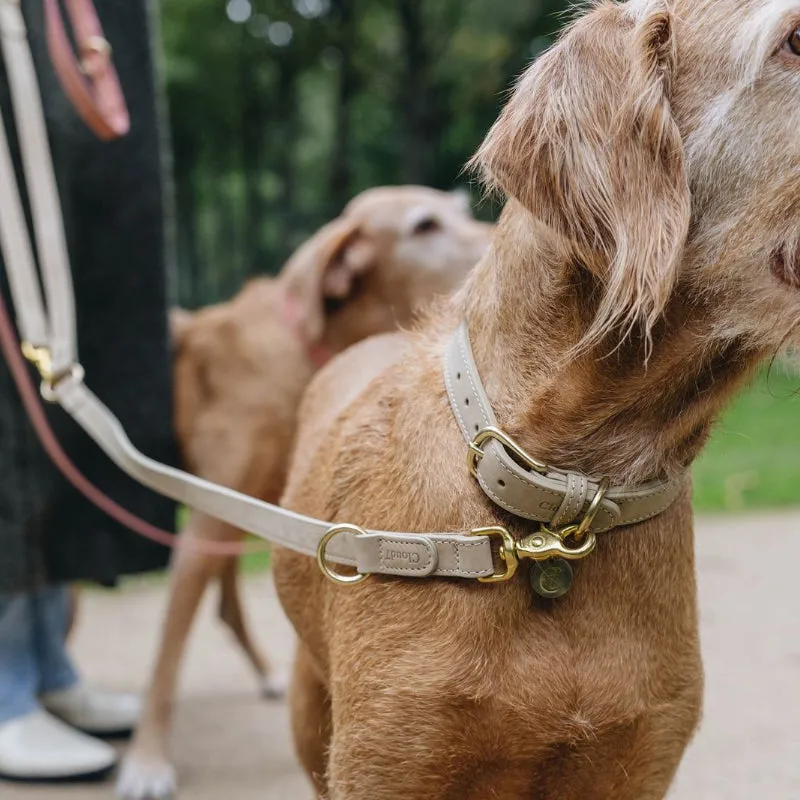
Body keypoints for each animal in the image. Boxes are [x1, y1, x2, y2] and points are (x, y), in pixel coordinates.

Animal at [117, 184, 494, 796]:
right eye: (424, 225)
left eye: (460, 209)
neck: (306, 347)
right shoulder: (204, 519)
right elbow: (168, 650)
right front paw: (146, 758)